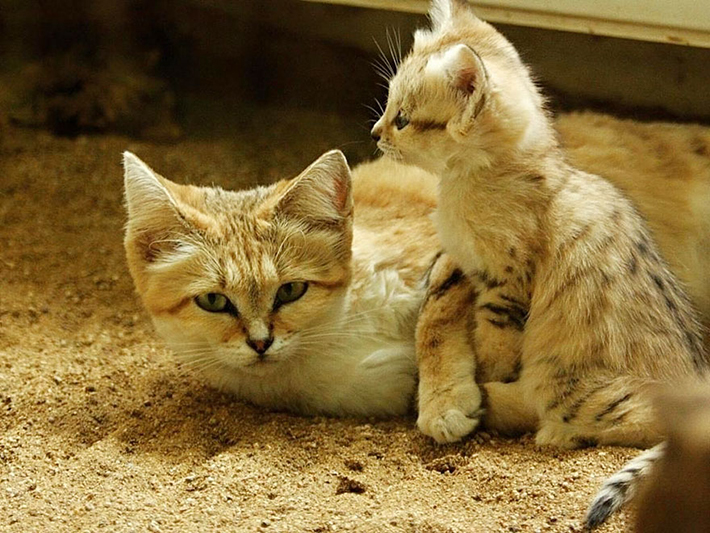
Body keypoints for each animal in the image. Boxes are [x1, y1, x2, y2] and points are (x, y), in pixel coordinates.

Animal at [370, 0, 708, 448]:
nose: (375, 133)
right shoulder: (467, 264)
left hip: (569, 386)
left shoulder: (505, 280)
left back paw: (527, 416)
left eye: (403, 119)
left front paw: (482, 376)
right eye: (389, 106)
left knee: (636, 416)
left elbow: (493, 342)